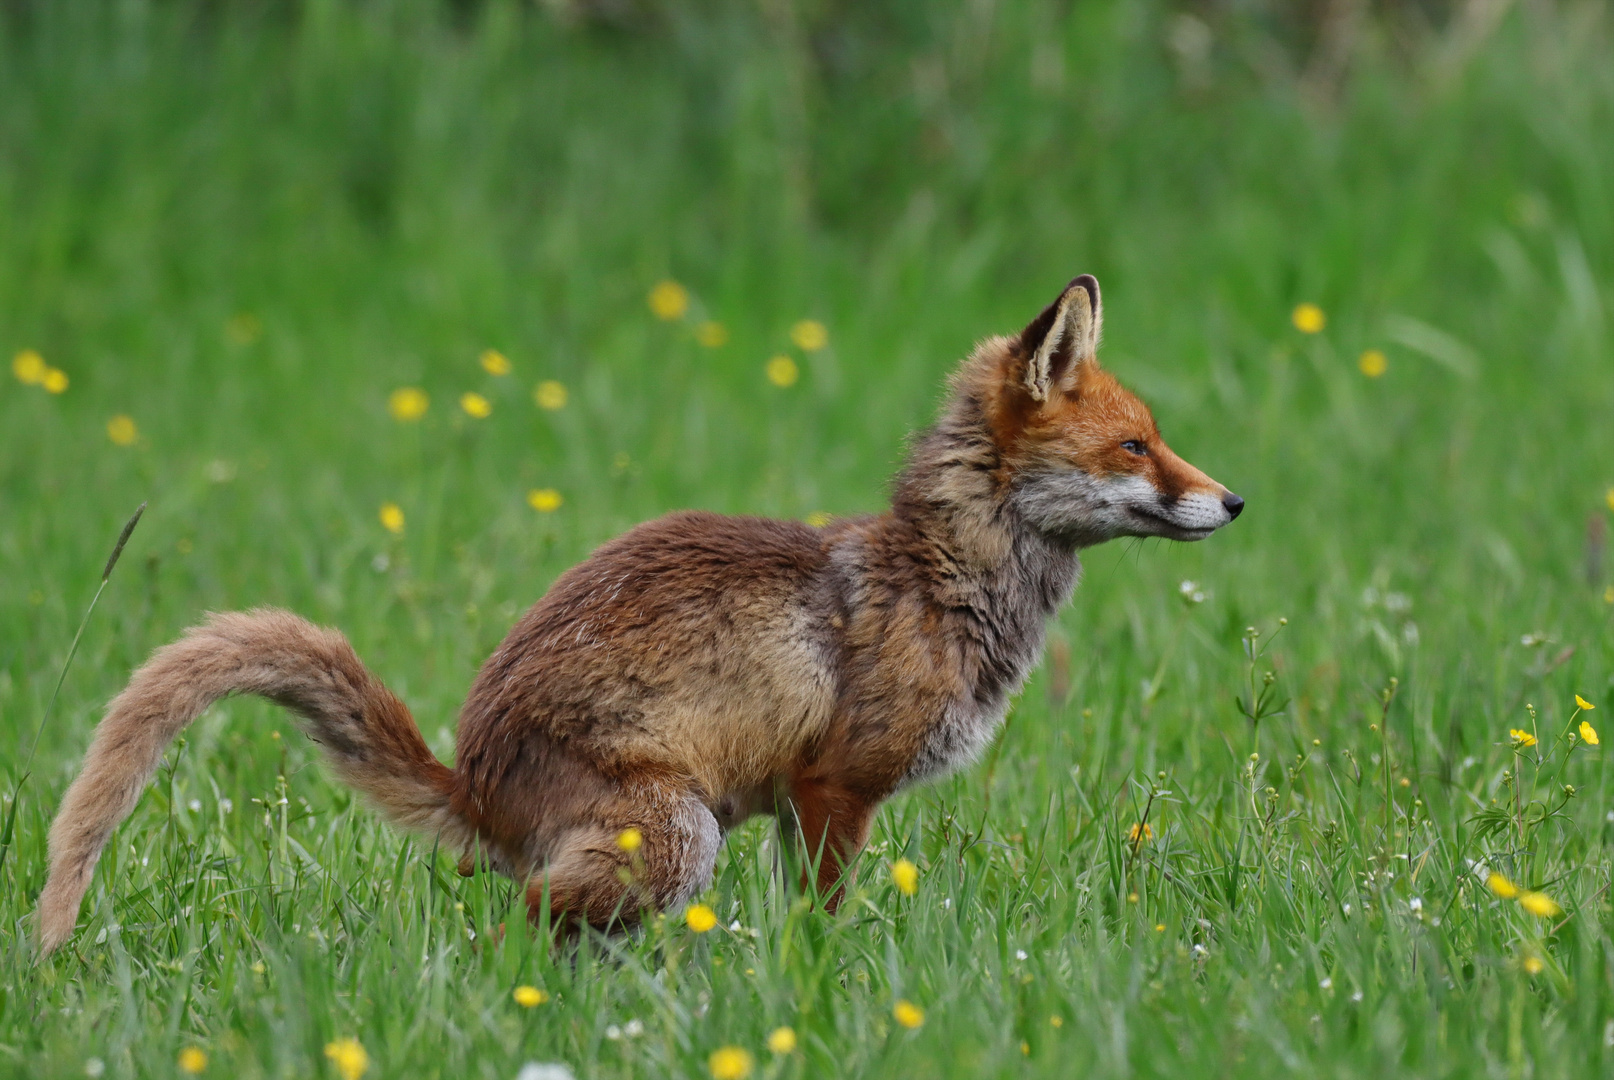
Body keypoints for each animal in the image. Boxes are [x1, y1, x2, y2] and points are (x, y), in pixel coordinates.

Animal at [40, 276, 1246, 949]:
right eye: (1135, 447)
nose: (1235, 501)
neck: (937, 577)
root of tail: (472, 781)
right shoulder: (834, 790)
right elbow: (821, 935)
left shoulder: (811, 806)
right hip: (681, 838)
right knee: (509, 938)